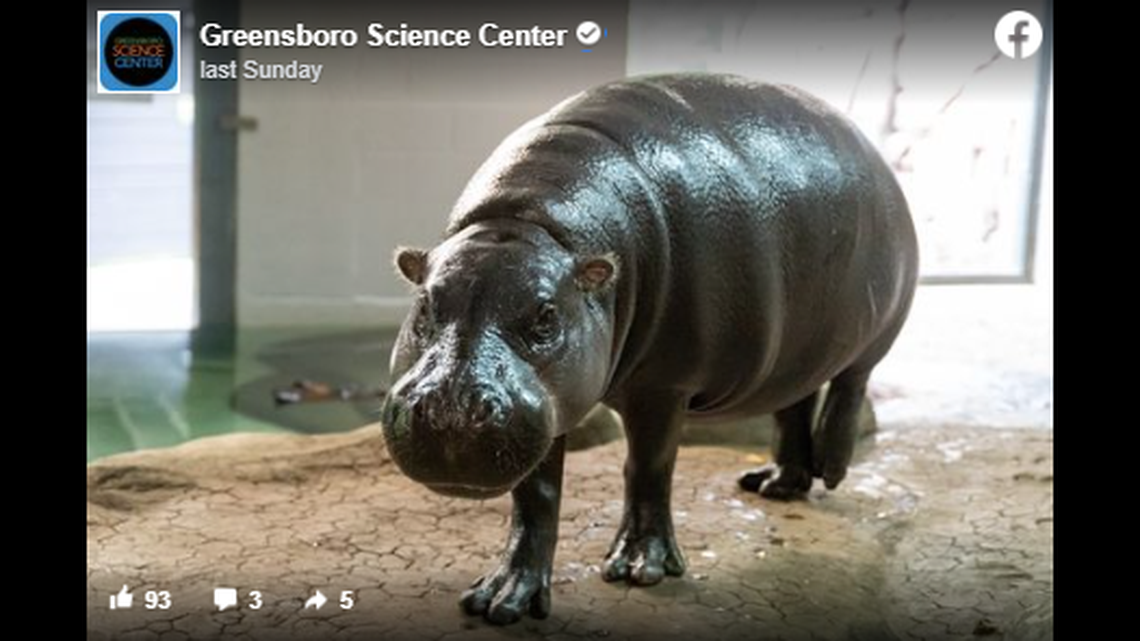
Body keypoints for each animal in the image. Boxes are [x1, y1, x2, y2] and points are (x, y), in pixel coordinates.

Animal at [380, 73, 918, 624]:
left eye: (547, 316)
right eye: (424, 305)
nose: (451, 412)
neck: (529, 224)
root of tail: (876, 155)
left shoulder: (662, 385)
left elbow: (648, 467)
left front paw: (640, 569)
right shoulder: (554, 400)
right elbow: (536, 495)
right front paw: (502, 599)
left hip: (882, 321)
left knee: (851, 382)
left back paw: (831, 468)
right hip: (795, 351)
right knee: (794, 402)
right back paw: (774, 484)